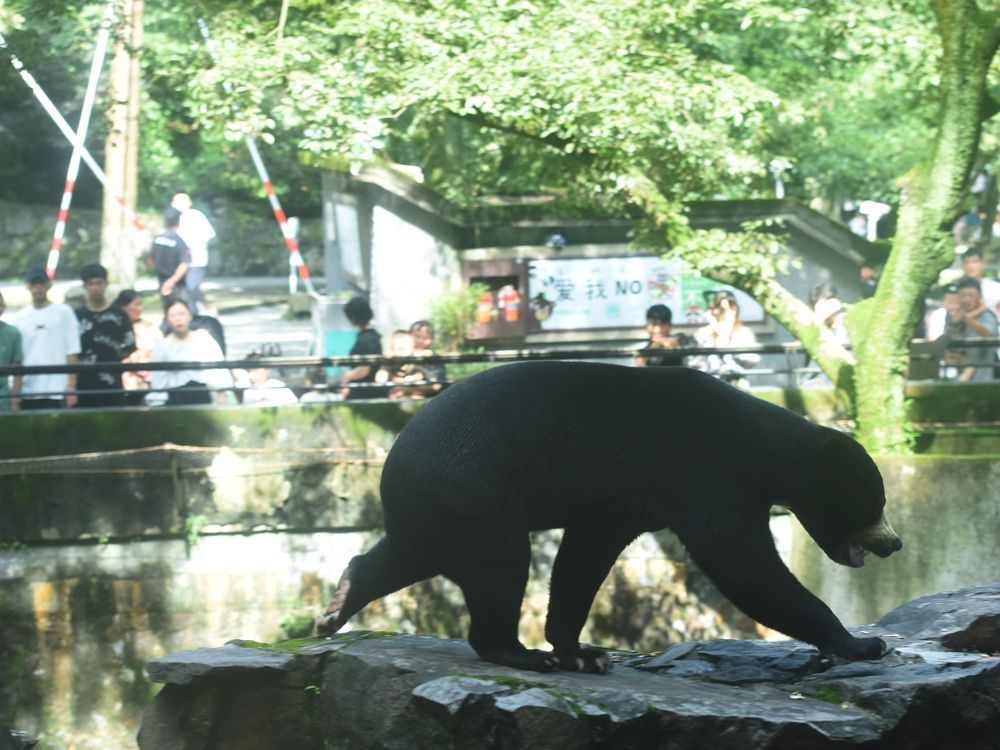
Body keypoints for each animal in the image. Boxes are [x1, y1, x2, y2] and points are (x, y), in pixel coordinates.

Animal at [316, 362, 904, 672]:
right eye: (874, 502)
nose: (894, 543)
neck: (764, 447)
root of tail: (391, 459)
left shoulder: (618, 501)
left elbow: (584, 558)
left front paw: (582, 650)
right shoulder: (707, 477)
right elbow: (744, 566)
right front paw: (860, 642)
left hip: (437, 506)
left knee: (407, 555)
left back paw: (338, 602)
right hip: (473, 488)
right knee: (499, 564)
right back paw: (518, 652)